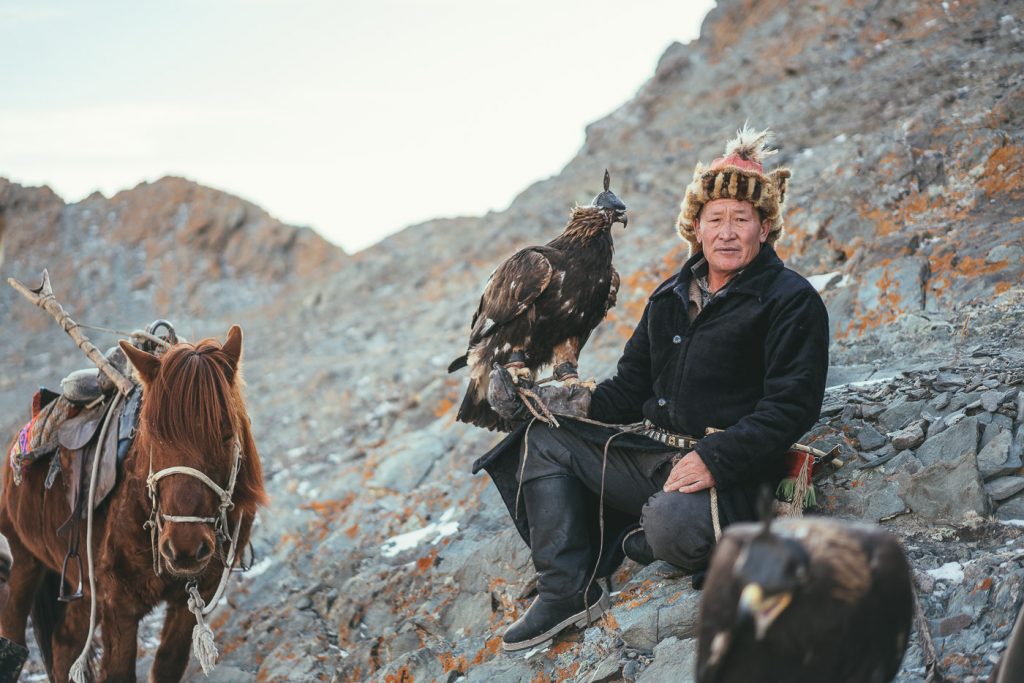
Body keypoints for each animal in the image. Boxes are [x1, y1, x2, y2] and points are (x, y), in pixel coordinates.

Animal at [1, 327, 264, 679]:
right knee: (14, 639)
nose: (184, 547)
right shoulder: (118, 605)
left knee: (65, 643)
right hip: (23, 563)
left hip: (82, 586)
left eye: (225, 433)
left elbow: (167, 664)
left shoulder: (194, 596)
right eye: (153, 434)